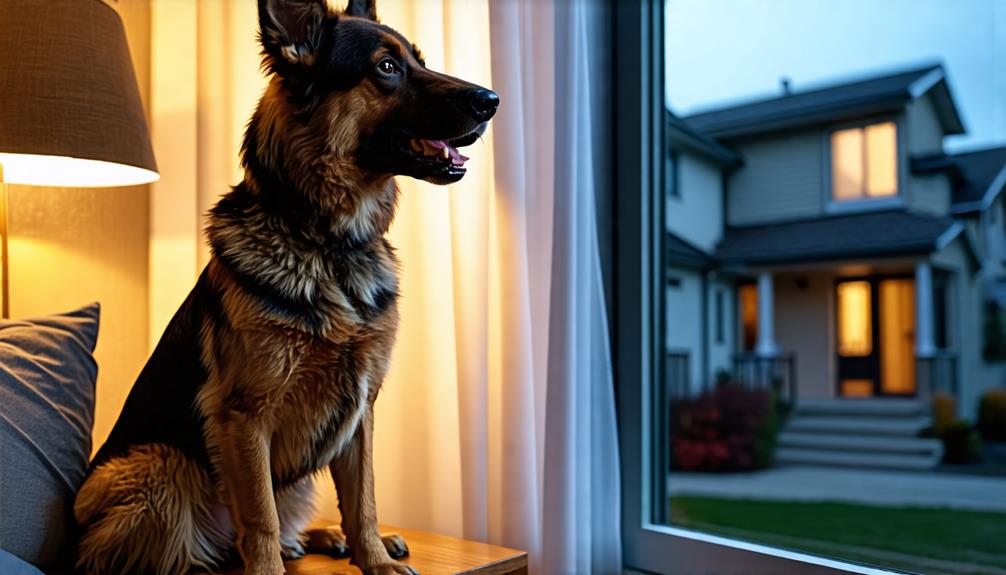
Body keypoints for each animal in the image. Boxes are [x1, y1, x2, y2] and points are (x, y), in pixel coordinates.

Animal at [72, 1, 496, 575]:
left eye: (419, 61)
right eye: (387, 67)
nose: (491, 101)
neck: (328, 244)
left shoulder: (361, 412)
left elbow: (363, 500)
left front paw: (374, 557)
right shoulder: (245, 415)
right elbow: (260, 520)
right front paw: (278, 562)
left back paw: (331, 538)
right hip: (162, 467)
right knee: (197, 551)